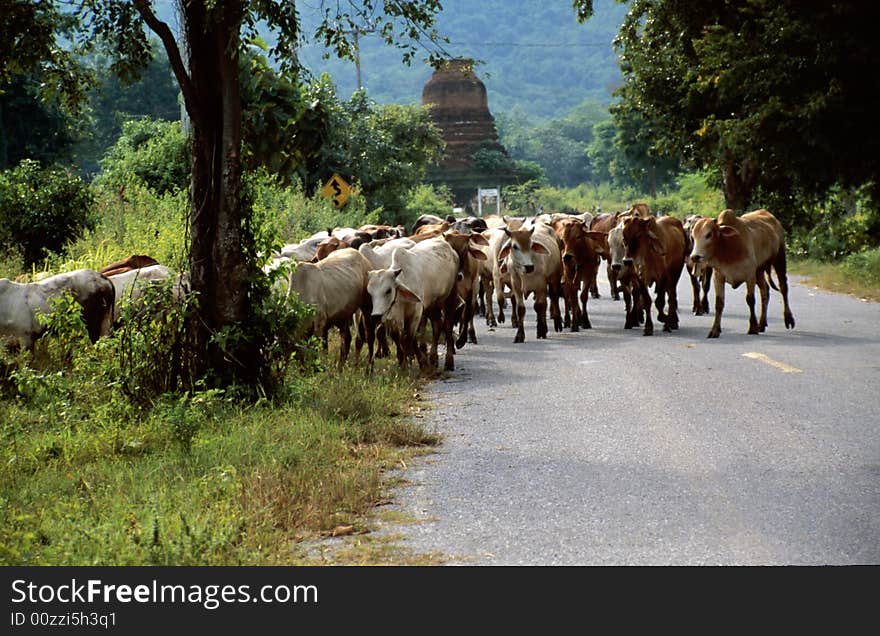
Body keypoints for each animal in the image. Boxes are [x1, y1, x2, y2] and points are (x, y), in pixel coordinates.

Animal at [688, 209, 796, 338]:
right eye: (693, 236)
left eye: (709, 234)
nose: (695, 257)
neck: (728, 247)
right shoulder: (718, 276)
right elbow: (719, 303)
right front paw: (715, 330)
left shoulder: (750, 275)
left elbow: (750, 300)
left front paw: (753, 327)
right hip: (759, 271)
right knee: (765, 291)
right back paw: (762, 323)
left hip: (779, 259)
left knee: (783, 287)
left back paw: (788, 319)